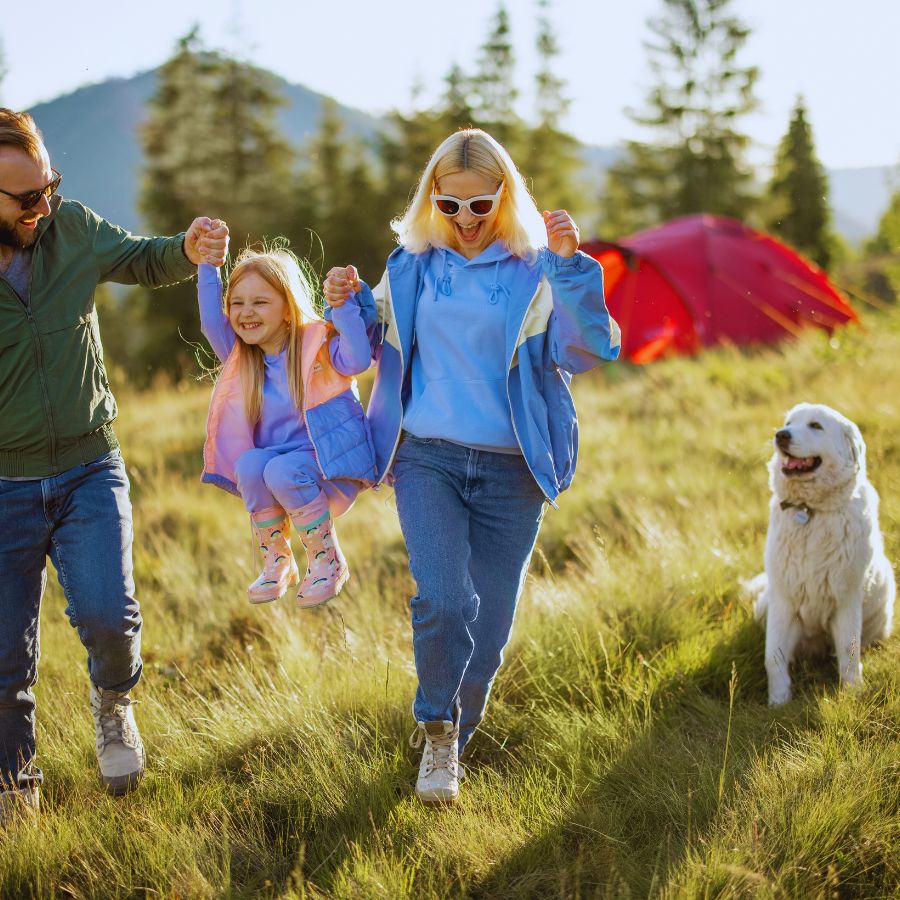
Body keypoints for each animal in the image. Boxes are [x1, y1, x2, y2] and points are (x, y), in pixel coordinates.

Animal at [752, 404, 892, 708]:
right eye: (788, 422)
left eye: (815, 426)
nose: (781, 435)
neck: (809, 511)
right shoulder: (782, 600)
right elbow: (773, 656)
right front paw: (778, 702)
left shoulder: (846, 600)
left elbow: (849, 652)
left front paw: (852, 694)